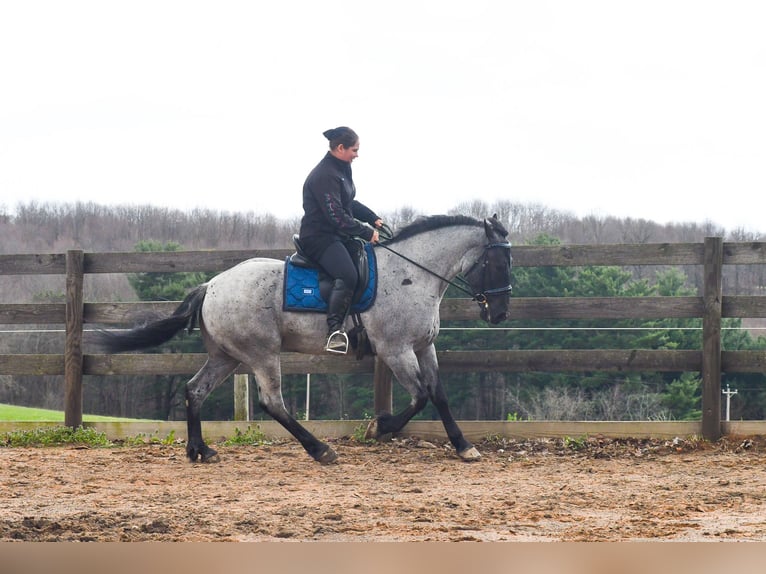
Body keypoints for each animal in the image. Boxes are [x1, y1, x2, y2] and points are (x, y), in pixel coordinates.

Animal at [97, 214, 512, 464]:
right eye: (498, 262)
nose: (500, 313)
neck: (410, 274)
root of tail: (211, 285)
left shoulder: (424, 347)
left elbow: (438, 394)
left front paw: (464, 446)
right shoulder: (396, 350)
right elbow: (421, 396)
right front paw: (379, 428)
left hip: (226, 355)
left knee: (195, 390)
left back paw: (200, 450)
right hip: (262, 353)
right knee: (272, 402)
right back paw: (320, 449)